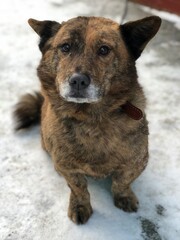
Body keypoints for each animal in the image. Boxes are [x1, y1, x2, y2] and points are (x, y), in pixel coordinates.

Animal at [14, 15, 161, 224]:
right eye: (65, 47)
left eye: (104, 50)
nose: (77, 81)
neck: (92, 119)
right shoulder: (67, 167)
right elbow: (78, 188)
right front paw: (80, 205)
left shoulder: (138, 161)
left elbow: (122, 181)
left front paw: (124, 197)